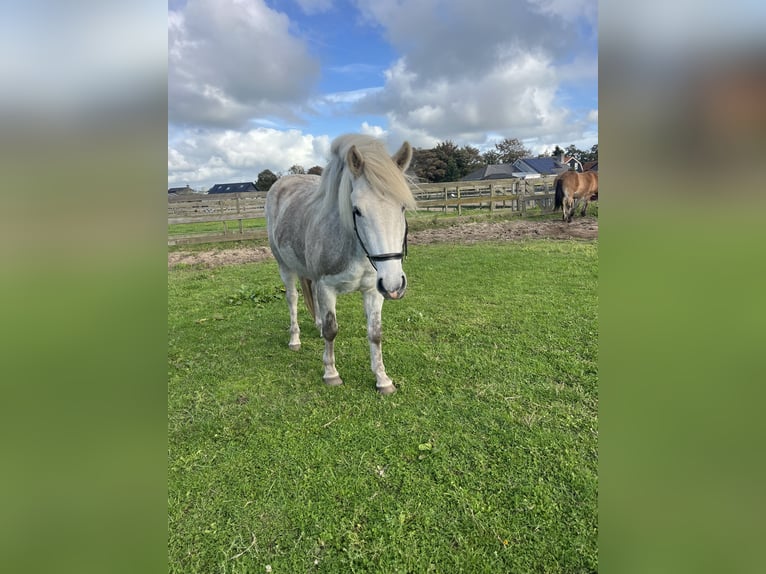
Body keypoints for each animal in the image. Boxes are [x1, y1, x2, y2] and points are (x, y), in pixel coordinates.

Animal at [266, 134, 416, 395]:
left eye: (403, 207)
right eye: (357, 210)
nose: (393, 284)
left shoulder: (373, 291)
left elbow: (375, 333)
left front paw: (382, 379)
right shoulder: (327, 287)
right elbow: (331, 330)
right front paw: (331, 373)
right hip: (284, 266)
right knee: (292, 300)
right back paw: (295, 339)